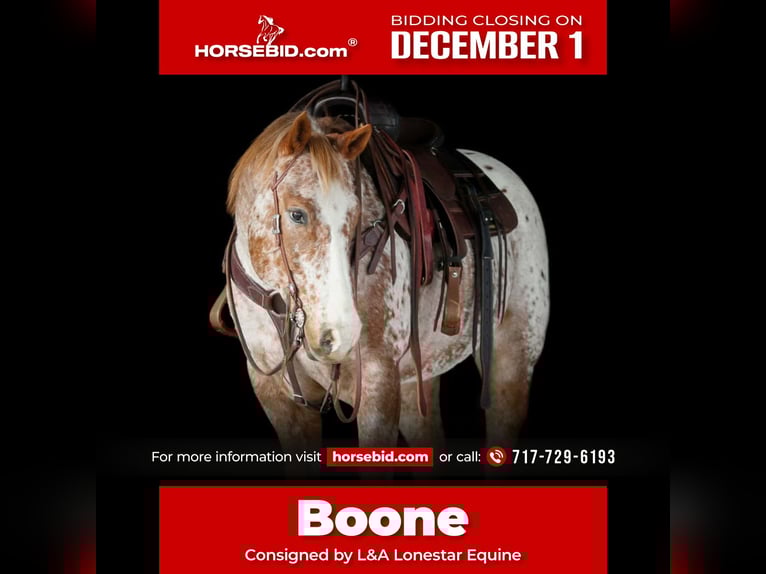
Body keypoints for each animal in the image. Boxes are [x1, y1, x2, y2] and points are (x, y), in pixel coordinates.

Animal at [221, 109, 549, 452]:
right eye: (297, 214)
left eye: (355, 219)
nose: (341, 334)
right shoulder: (277, 397)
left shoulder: (378, 385)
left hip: (512, 360)